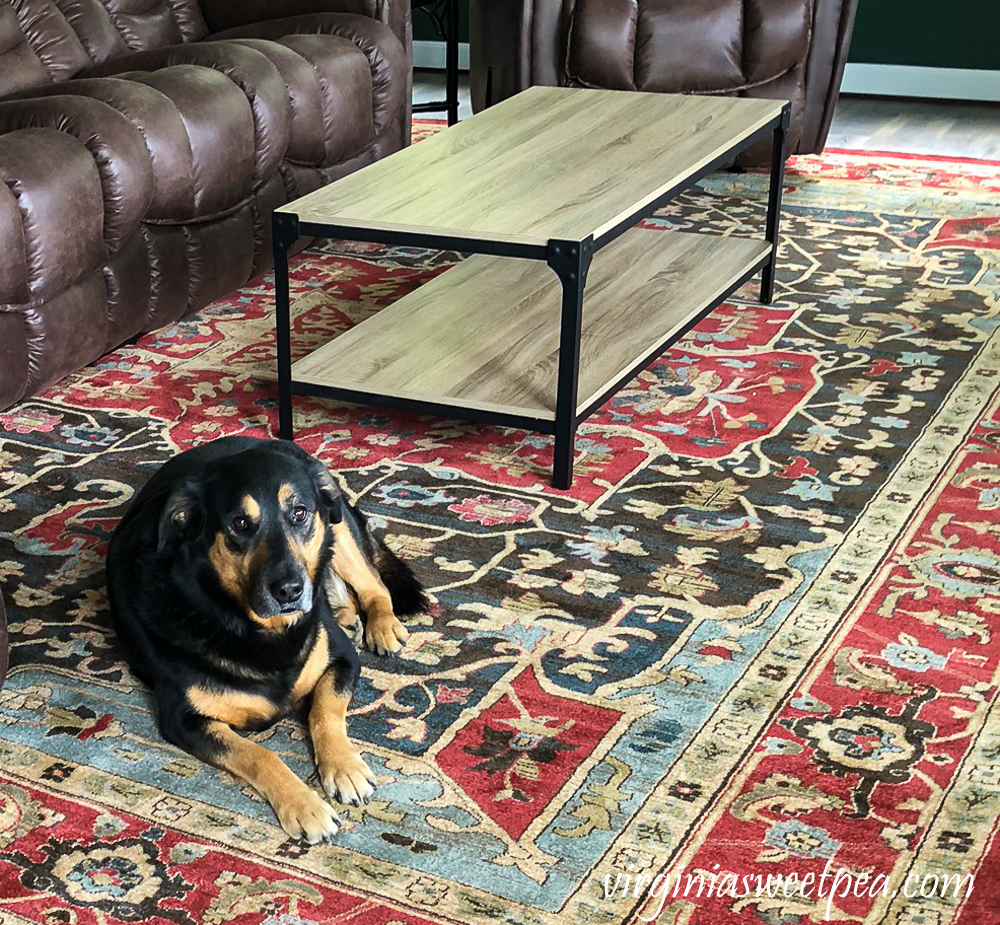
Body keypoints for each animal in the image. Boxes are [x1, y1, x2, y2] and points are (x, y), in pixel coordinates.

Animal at [105, 436, 426, 840]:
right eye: (240, 524)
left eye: (300, 513)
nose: (289, 590)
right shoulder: (184, 719)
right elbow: (258, 754)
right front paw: (304, 805)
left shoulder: (342, 659)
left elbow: (325, 710)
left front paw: (344, 767)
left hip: (339, 531)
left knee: (375, 586)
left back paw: (381, 626)